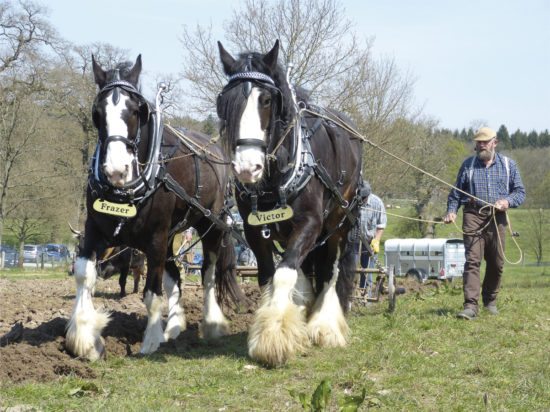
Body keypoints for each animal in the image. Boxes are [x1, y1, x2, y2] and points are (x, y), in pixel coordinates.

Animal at [66, 55, 245, 360]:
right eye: (97, 112)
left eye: (136, 111)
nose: (116, 170)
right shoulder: (94, 231)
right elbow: (83, 275)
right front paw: (84, 338)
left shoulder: (155, 239)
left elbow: (151, 293)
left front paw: (150, 341)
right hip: (172, 237)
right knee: (175, 277)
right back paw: (173, 327)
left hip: (209, 225)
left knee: (208, 273)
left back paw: (211, 323)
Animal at [218, 40, 364, 366]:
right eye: (226, 101)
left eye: (266, 100)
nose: (247, 168)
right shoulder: (254, 231)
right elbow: (267, 276)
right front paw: (280, 322)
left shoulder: (310, 223)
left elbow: (285, 273)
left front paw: (273, 338)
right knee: (311, 268)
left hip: (338, 224)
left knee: (330, 272)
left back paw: (324, 324)